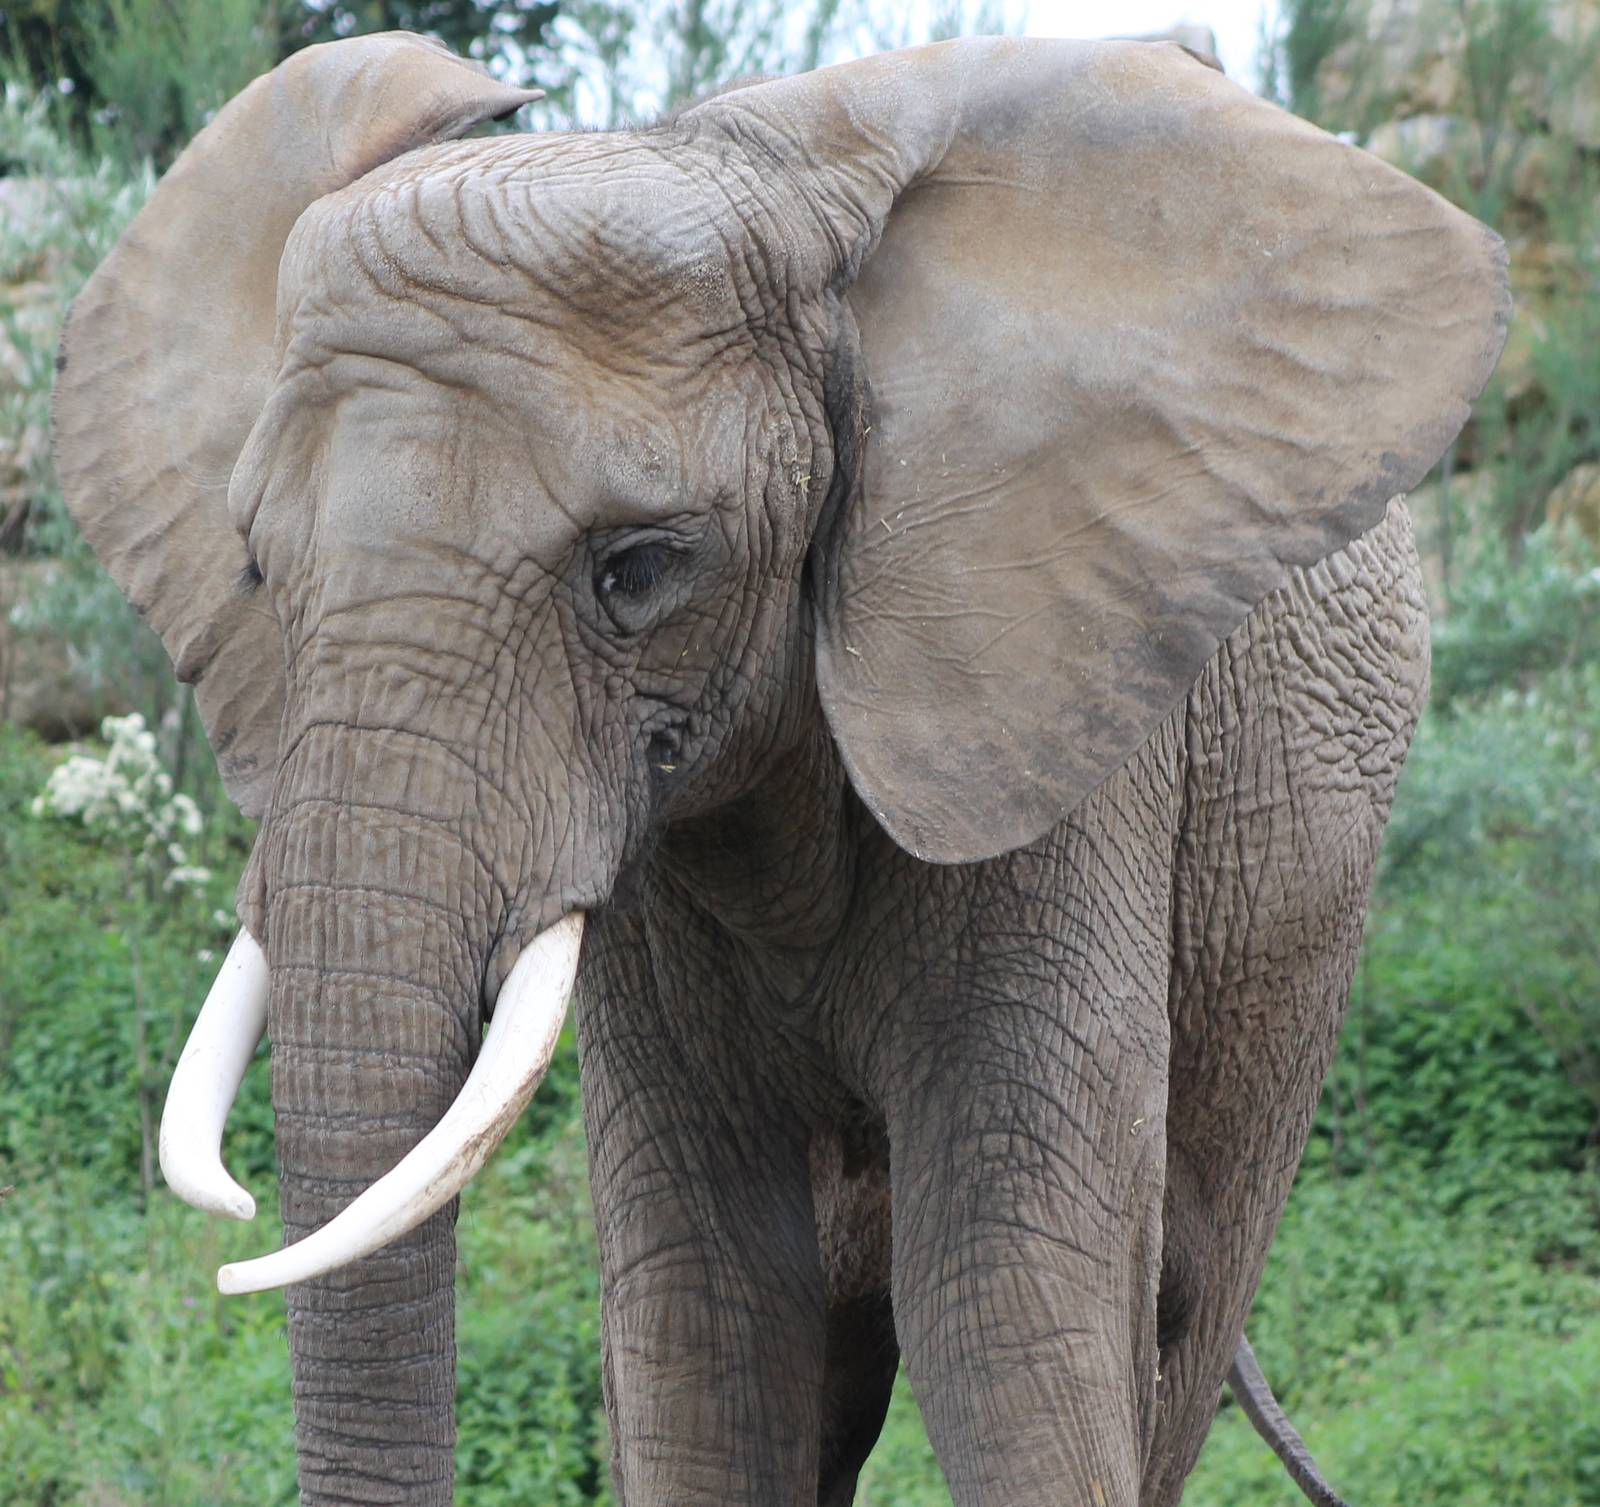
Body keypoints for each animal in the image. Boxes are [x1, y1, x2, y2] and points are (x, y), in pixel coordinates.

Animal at [52, 30, 1508, 1507]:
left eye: (637, 570)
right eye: (255, 570)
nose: (238, 1229)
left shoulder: (1053, 716)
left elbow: (1003, 1296)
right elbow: (709, 1306)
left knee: (1178, 1310)